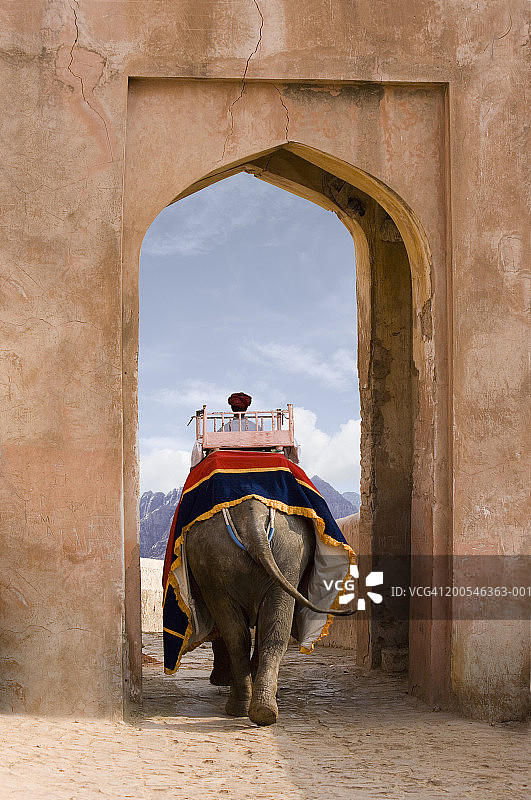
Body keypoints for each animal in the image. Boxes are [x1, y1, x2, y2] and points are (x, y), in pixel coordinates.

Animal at [186, 497, 355, 726]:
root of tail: (252, 518)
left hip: (274, 555)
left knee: (243, 634)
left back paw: (253, 707)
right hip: (271, 557)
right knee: (255, 633)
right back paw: (258, 707)